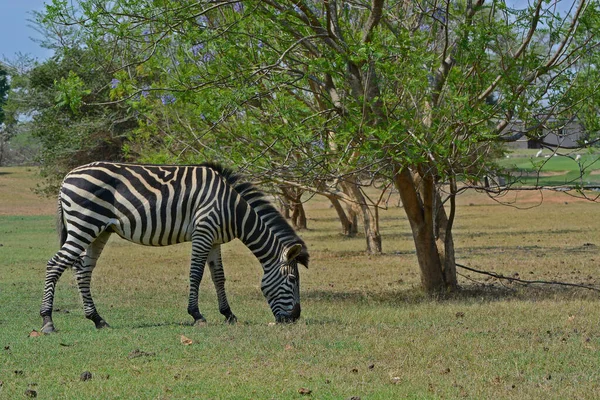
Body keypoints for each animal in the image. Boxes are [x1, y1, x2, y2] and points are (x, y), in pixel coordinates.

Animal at [41, 161, 310, 332]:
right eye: (292, 280)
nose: (295, 319)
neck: (233, 209)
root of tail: (68, 177)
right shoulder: (203, 231)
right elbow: (196, 274)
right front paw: (197, 315)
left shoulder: (214, 239)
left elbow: (218, 277)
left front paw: (229, 314)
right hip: (84, 224)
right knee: (55, 265)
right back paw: (47, 322)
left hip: (99, 230)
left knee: (83, 271)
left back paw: (97, 319)